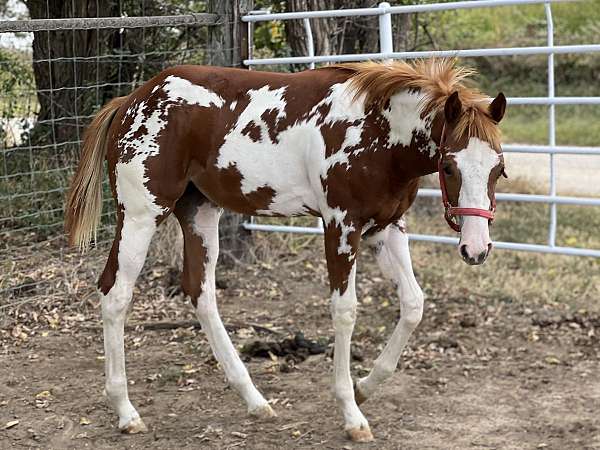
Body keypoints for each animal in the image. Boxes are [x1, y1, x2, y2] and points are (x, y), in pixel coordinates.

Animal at [65, 59, 506, 442]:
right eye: (449, 166)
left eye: (499, 169)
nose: (476, 248)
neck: (377, 131)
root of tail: (131, 102)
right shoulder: (341, 226)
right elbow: (345, 312)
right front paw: (351, 413)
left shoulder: (386, 228)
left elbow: (414, 304)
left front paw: (365, 386)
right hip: (141, 215)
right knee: (116, 294)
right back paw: (126, 412)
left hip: (199, 213)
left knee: (201, 293)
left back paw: (254, 400)